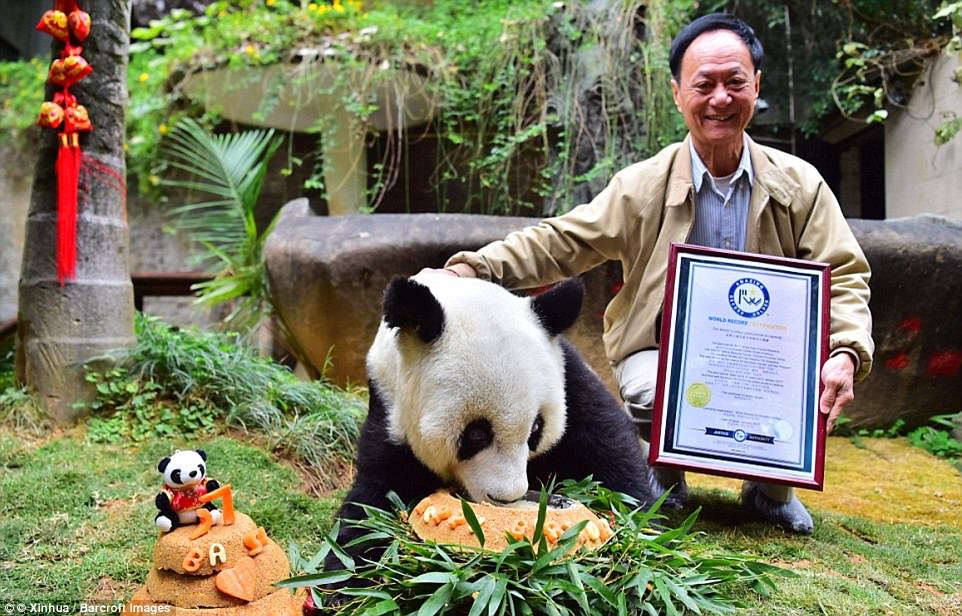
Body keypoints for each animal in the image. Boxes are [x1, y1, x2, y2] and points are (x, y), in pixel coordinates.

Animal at [328, 274, 652, 568]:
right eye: (476, 434)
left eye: (536, 429)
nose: (507, 499)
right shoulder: (390, 407)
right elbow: (373, 500)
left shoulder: (569, 377)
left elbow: (609, 448)